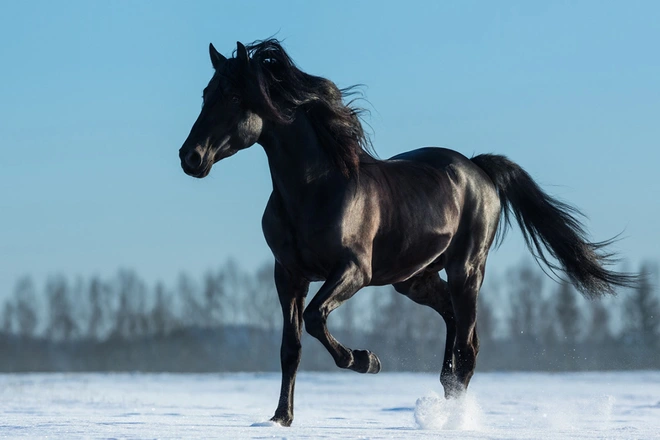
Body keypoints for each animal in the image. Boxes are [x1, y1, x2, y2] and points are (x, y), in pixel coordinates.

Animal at [178, 38, 636, 426]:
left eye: (234, 97)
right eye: (205, 94)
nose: (190, 157)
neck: (314, 189)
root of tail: (478, 169)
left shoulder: (353, 271)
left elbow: (314, 319)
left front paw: (367, 360)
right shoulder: (288, 275)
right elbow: (291, 347)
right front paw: (280, 419)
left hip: (466, 270)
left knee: (467, 347)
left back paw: (454, 420)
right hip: (415, 279)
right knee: (452, 329)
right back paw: (445, 405)